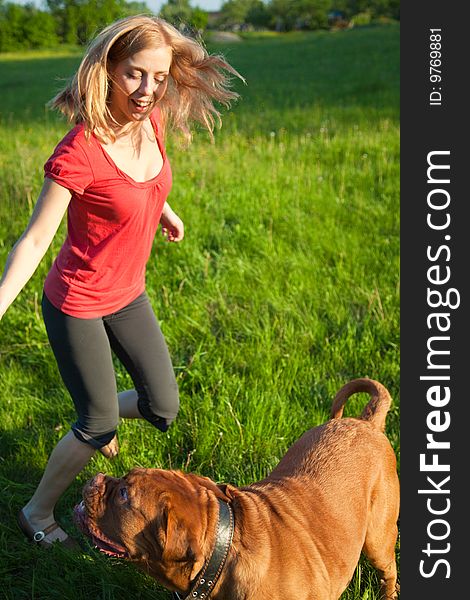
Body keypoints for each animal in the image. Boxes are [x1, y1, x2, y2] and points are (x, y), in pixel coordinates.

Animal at [75, 380, 398, 600]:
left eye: (123, 495)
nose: (96, 479)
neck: (222, 554)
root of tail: (366, 422)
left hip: (378, 539)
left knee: (389, 571)